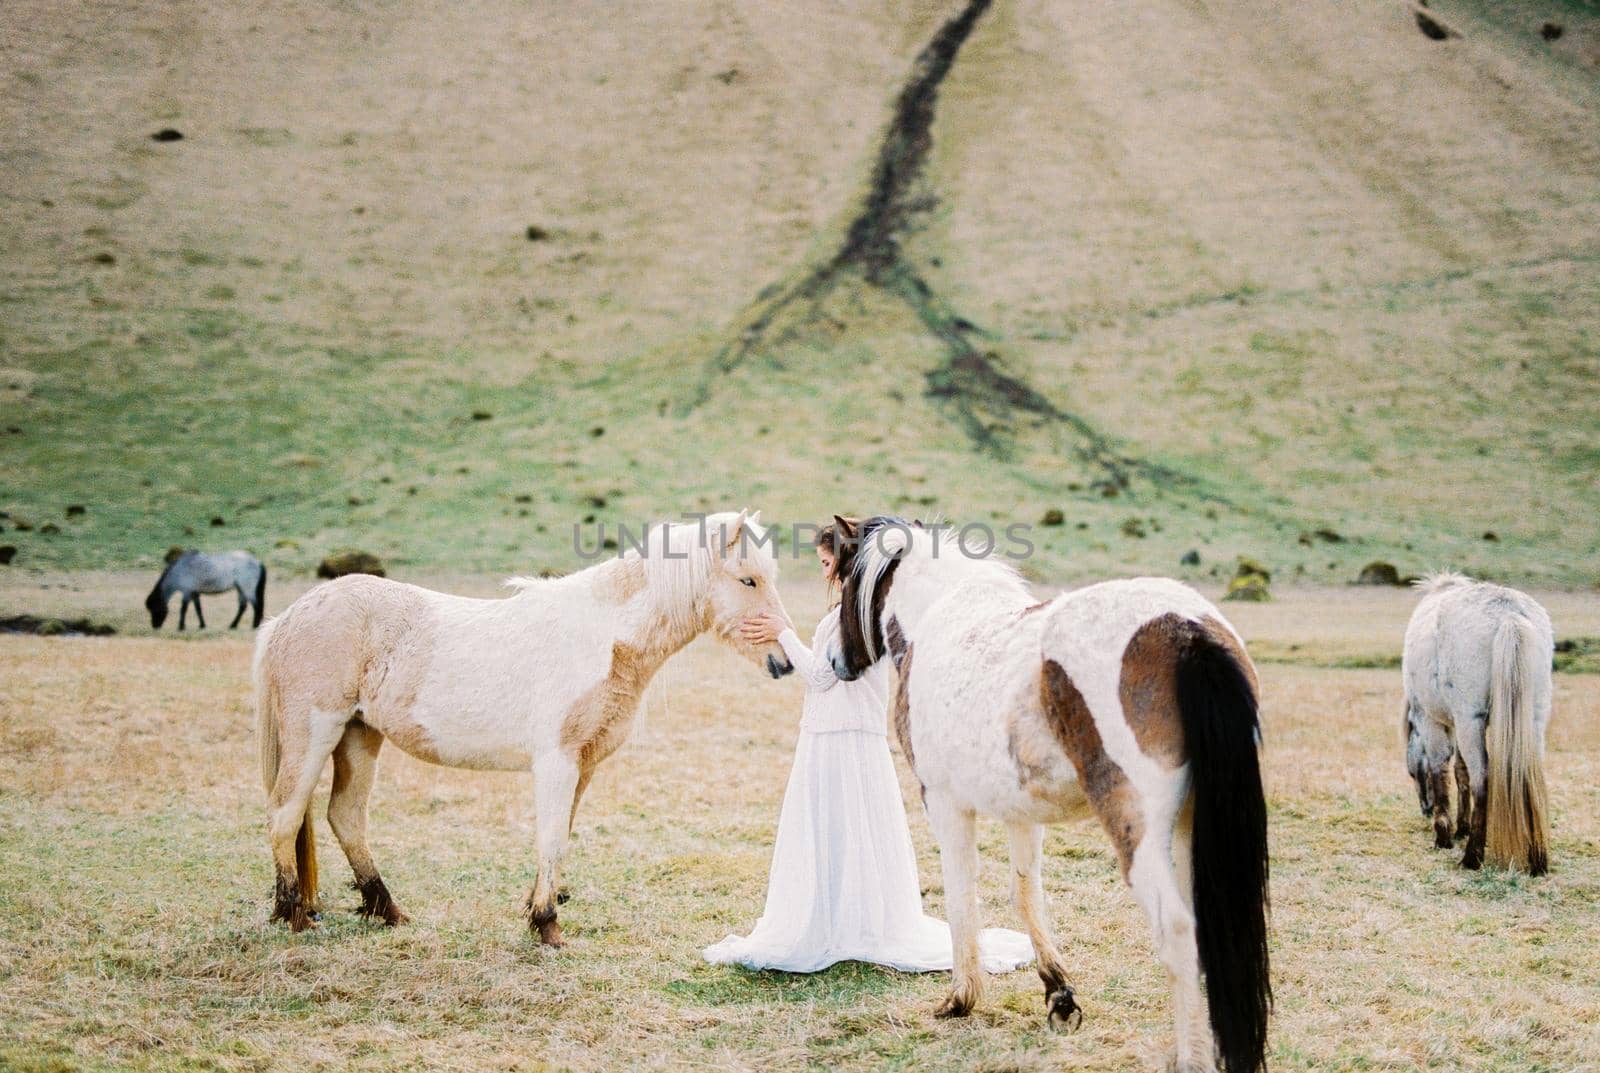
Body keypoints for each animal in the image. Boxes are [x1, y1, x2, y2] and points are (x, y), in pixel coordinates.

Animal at [254, 511, 793, 940]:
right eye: (748, 580)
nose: (785, 662)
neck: (599, 637)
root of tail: (288, 618)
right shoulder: (556, 763)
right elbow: (551, 838)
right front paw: (547, 925)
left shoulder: (583, 766)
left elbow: (561, 836)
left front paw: (536, 910)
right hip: (316, 732)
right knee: (286, 813)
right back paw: (295, 916)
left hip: (359, 736)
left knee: (345, 817)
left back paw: (387, 911)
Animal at [832, 521, 1267, 1073]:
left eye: (842, 581)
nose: (835, 661)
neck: (938, 618)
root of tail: (1187, 629)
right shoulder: (1021, 814)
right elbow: (1025, 892)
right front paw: (1059, 994)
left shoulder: (946, 805)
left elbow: (961, 897)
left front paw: (961, 998)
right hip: (1197, 830)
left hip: (1140, 836)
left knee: (1178, 934)